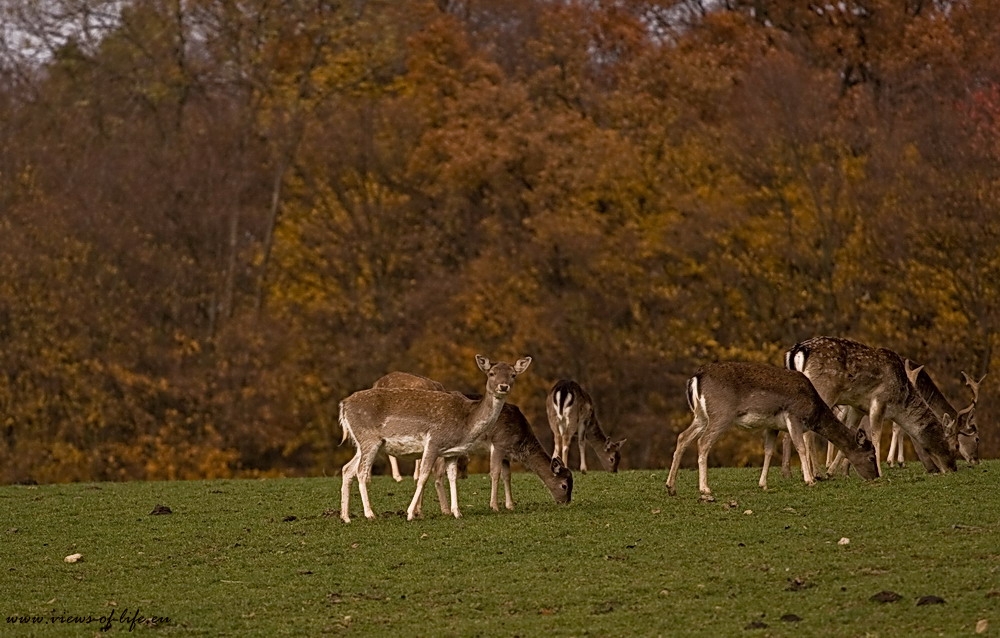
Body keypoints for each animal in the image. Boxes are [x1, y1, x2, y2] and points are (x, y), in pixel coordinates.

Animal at [338, 356, 532, 524]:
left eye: (513, 374)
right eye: (491, 373)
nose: (503, 386)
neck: (466, 423)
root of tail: (343, 405)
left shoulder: (453, 452)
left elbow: (452, 477)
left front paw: (457, 512)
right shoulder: (434, 442)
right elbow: (423, 476)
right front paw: (410, 513)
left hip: (364, 444)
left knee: (347, 469)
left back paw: (345, 517)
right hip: (369, 439)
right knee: (361, 472)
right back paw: (370, 514)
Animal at [370, 372, 576, 512]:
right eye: (564, 485)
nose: (566, 502)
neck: (519, 442)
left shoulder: (506, 453)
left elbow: (507, 476)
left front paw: (510, 505)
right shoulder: (498, 443)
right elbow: (495, 474)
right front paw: (494, 505)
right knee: (435, 474)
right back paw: (441, 509)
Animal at [668, 362, 880, 502]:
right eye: (871, 456)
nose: (876, 476)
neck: (814, 411)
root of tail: (695, 378)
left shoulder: (772, 426)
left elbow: (769, 451)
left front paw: (763, 484)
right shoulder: (794, 416)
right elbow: (800, 447)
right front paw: (810, 480)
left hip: (701, 416)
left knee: (682, 437)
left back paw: (671, 487)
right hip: (721, 414)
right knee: (703, 442)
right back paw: (705, 489)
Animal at [784, 338, 956, 478]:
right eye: (952, 446)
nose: (953, 468)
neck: (900, 402)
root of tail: (797, 351)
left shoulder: (857, 407)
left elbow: (852, 431)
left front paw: (834, 471)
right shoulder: (879, 401)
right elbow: (876, 435)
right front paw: (880, 471)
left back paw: (790, 474)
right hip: (823, 391)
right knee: (808, 432)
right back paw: (816, 473)